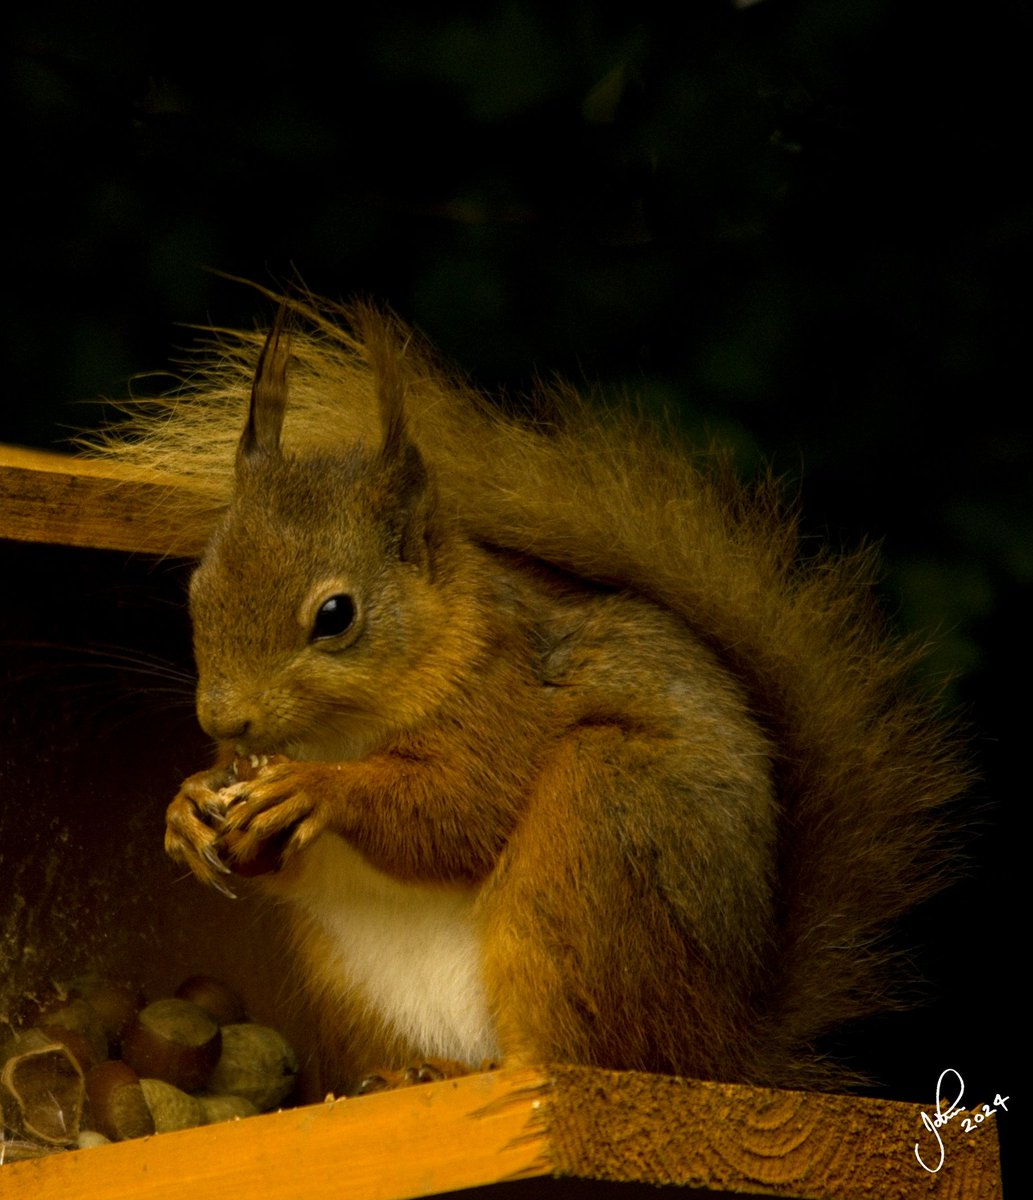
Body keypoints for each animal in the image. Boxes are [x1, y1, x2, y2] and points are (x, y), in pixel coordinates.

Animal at [90, 292, 969, 1099]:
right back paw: (405, 1077)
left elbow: (457, 813)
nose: (221, 718)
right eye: (197, 589)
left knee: (558, 1053)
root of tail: (722, 1055)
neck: (346, 728)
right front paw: (187, 805)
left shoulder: (503, 700)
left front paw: (315, 789)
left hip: (597, 838)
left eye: (335, 615)